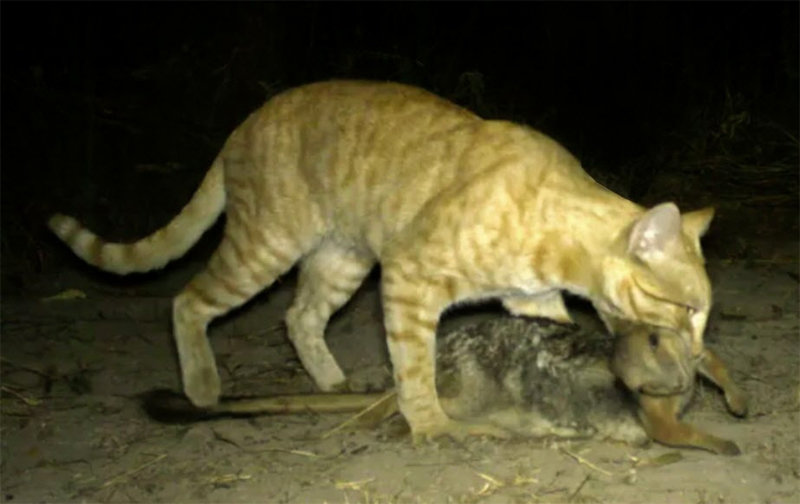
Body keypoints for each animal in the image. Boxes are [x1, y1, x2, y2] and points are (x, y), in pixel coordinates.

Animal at [48, 80, 712, 440]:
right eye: (686, 309)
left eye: (703, 314)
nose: (701, 350)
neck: (553, 233)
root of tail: (245, 121)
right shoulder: (408, 279)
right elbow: (414, 367)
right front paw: (432, 425)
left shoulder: (531, 297)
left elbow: (551, 337)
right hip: (263, 248)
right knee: (187, 301)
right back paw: (203, 386)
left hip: (341, 259)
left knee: (299, 317)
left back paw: (330, 381)